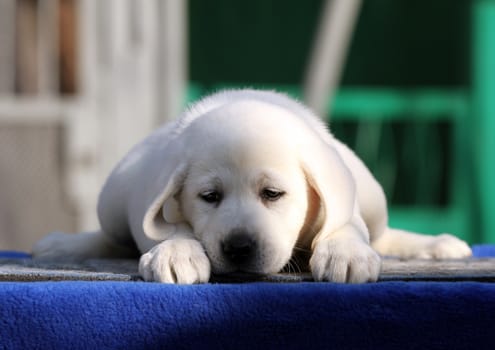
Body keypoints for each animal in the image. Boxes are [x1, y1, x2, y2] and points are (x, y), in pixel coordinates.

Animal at [32, 89, 472, 284]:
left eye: (272, 194)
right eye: (209, 197)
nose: (239, 247)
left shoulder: (342, 204)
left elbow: (346, 226)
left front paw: (345, 254)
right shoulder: (157, 203)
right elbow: (172, 230)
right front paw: (175, 253)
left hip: (373, 195)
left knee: (381, 233)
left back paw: (437, 244)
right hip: (112, 199)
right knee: (111, 236)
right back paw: (62, 244)